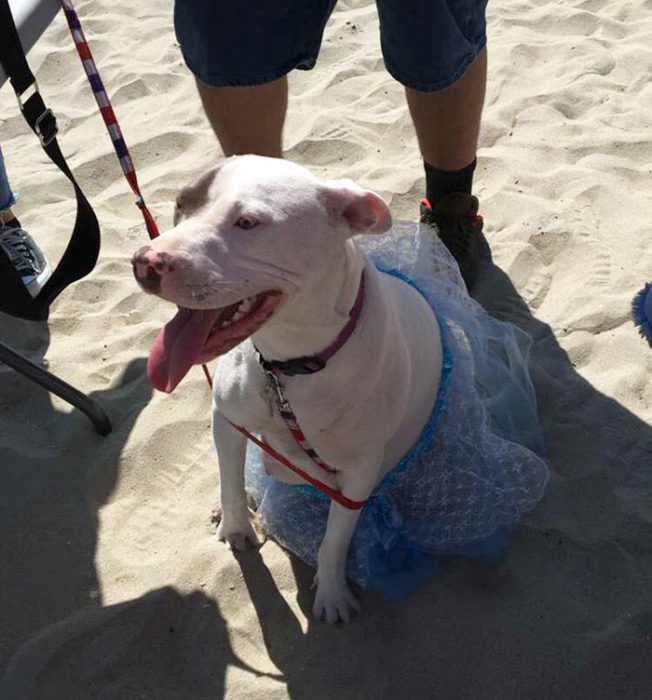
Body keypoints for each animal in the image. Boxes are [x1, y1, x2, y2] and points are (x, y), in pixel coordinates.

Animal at [132, 156, 444, 620]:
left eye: (247, 222)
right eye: (182, 204)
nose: (144, 261)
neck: (286, 368)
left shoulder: (359, 474)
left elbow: (335, 540)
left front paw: (332, 593)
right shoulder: (227, 420)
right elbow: (228, 480)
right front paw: (236, 526)